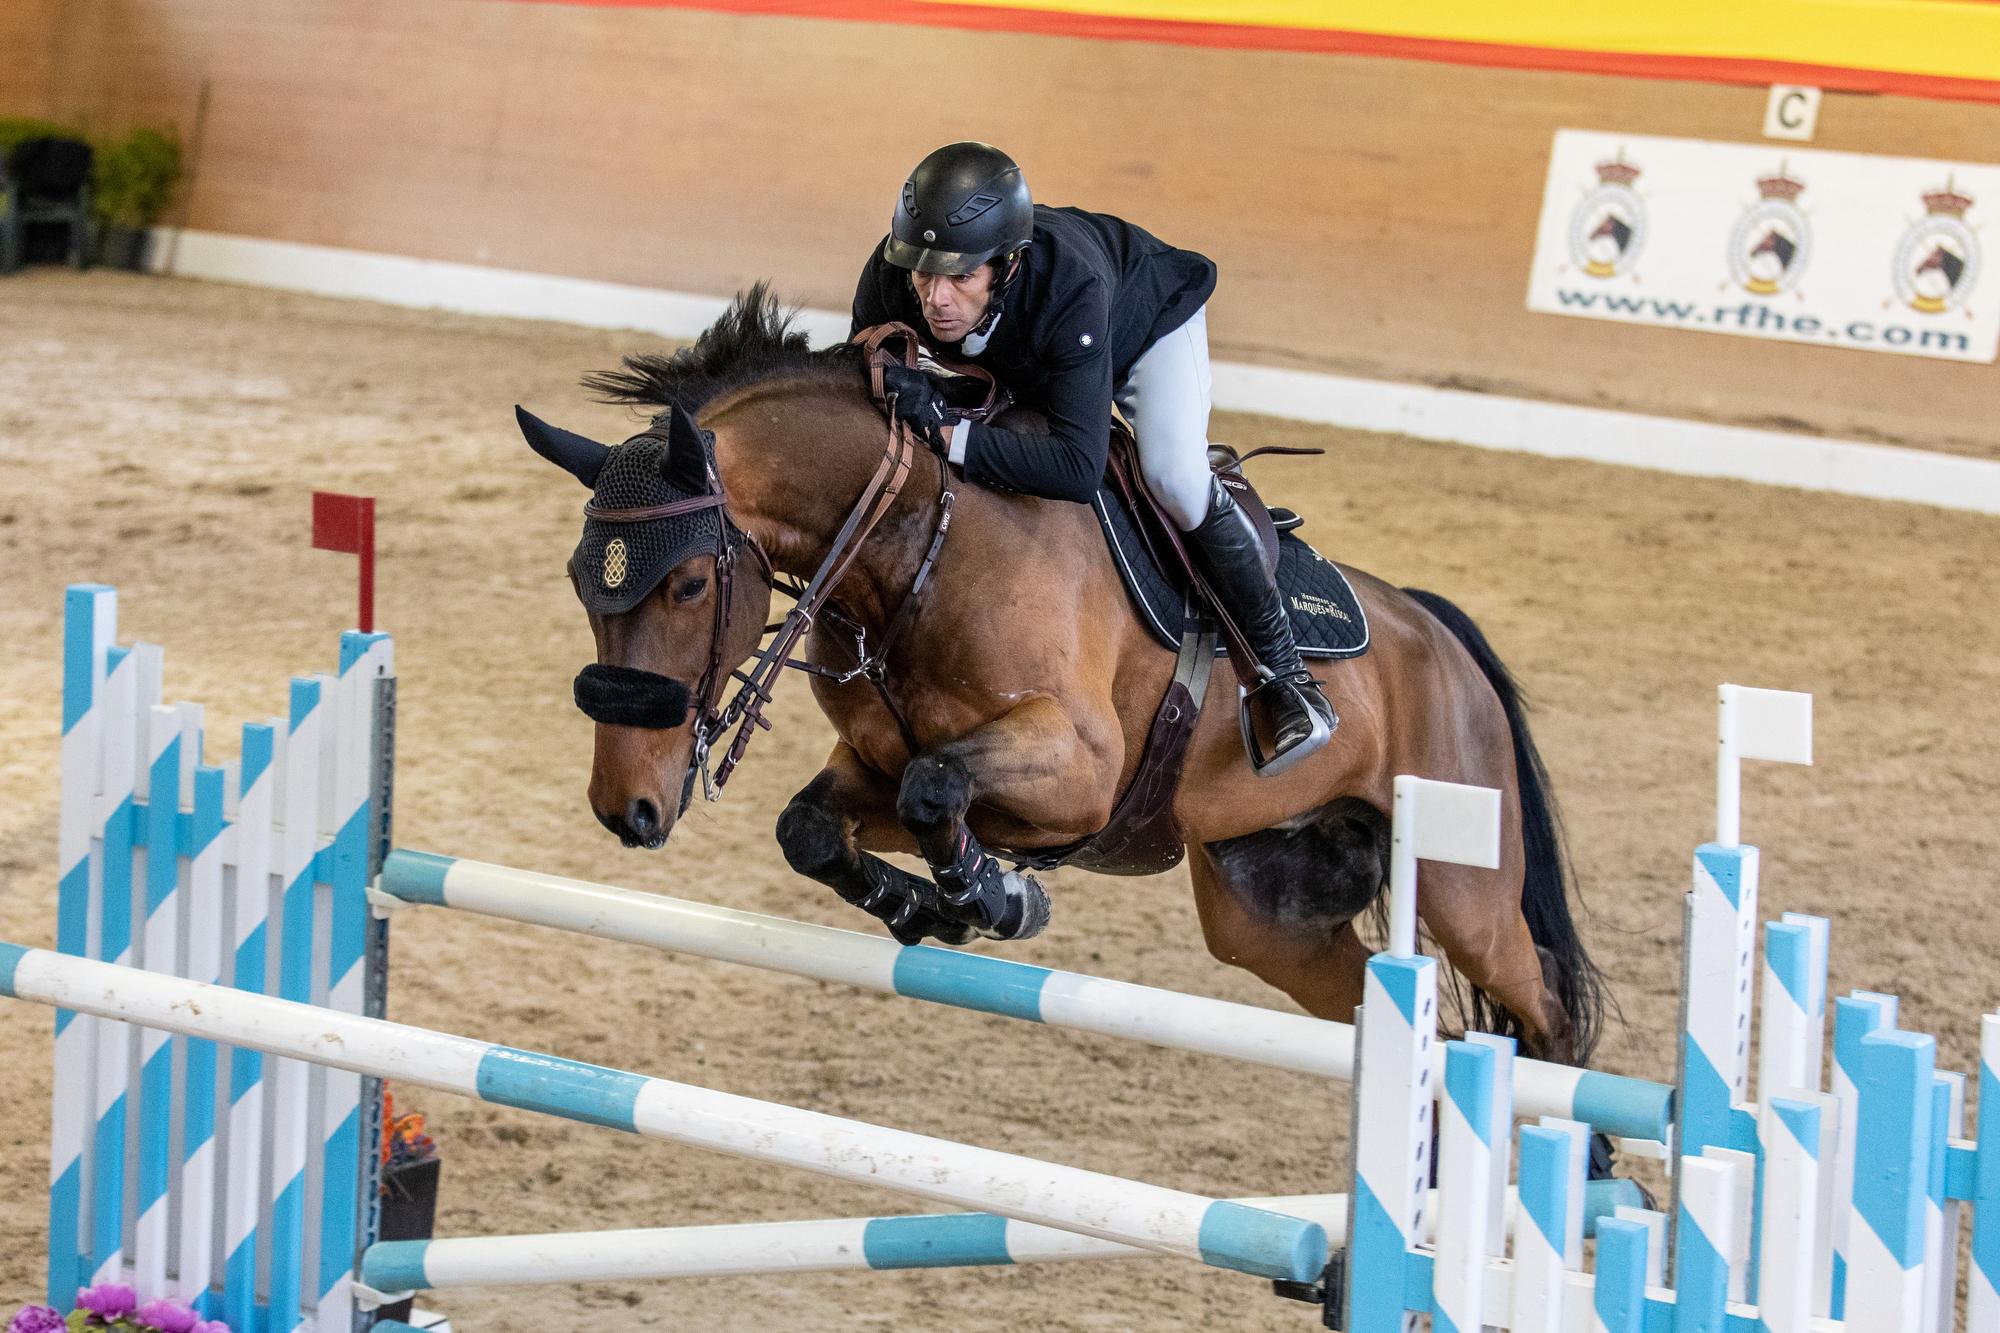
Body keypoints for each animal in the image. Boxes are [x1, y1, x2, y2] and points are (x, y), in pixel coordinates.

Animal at [516, 286, 1608, 1064]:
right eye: (576, 580)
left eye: (690, 583)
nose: (627, 809)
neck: (912, 547)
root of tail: (1435, 631)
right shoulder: (875, 765)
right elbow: (815, 827)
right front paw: (924, 906)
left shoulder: (1075, 772)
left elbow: (936, 789)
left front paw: (994, 898)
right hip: (1268, 913)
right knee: (1427, 1029)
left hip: (1464, 886)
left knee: (1543, 1014)